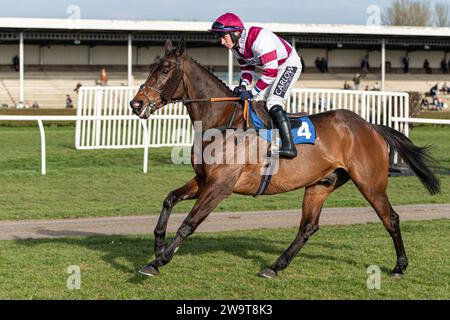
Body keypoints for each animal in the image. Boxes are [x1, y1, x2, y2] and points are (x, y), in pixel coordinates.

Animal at [128, 38, 442, 278]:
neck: (222, 121)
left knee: (391, 218)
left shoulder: (220, 185)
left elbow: (189, 223)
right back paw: (275, 266)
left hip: (370, 183)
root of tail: (370, 126)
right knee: (308, 227)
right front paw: (158, 244)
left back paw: (400, 267)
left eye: (165, 69)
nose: (136, 103)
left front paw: (157, 262)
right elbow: (169, 198)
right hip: (320, 184)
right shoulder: (204, 179)